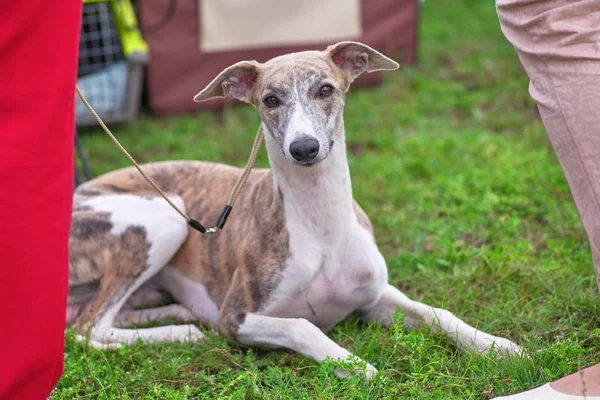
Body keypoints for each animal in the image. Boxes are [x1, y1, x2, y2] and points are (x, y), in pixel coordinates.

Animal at [68, 40, 524, 378]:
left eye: (326, 89)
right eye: (270, 99)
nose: (304, 148)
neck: (322, 222)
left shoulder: (375, 295)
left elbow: (438, 313)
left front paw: (497, 345)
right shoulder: (236, 317)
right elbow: (304, 326)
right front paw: (354, 365)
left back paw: (176, 317)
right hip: (162, 218)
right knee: (86, 330)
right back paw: (181, 333)